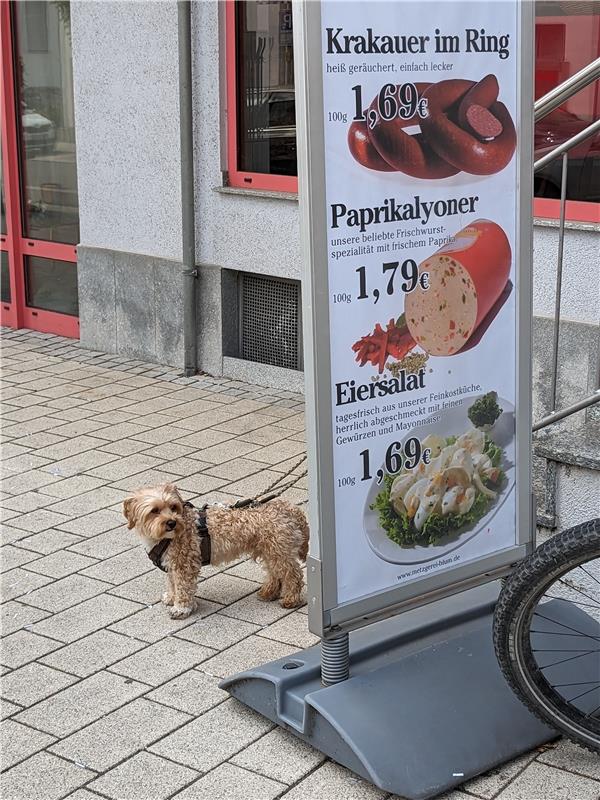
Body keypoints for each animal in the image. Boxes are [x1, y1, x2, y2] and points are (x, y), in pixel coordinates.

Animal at [122, 482, 310, 620]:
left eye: (173, 507)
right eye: (154, 511)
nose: (171, 522)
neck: (166, 538)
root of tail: (292, 509)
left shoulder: (184, 565)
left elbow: (183, 588)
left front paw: (181, 608)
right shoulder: (172, 565)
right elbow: (172, 583)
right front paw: (171, 597)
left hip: (279, 551)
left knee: (293, 575)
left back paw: (291, 599)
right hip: (270, 550)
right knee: (275, 573)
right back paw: (268, 592)